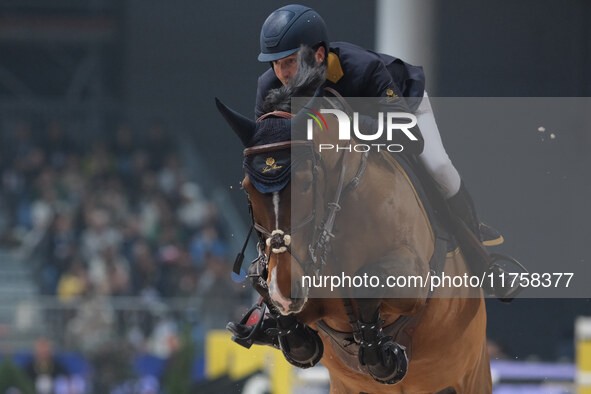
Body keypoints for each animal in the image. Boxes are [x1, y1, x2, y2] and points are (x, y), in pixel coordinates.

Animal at [215, 64, 492, 394]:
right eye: (247, 188)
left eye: (307, 182)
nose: (285, 289)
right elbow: (261, 280)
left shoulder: (413, 277)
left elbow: (367, 281)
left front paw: (382, 355)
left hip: (472, 373)